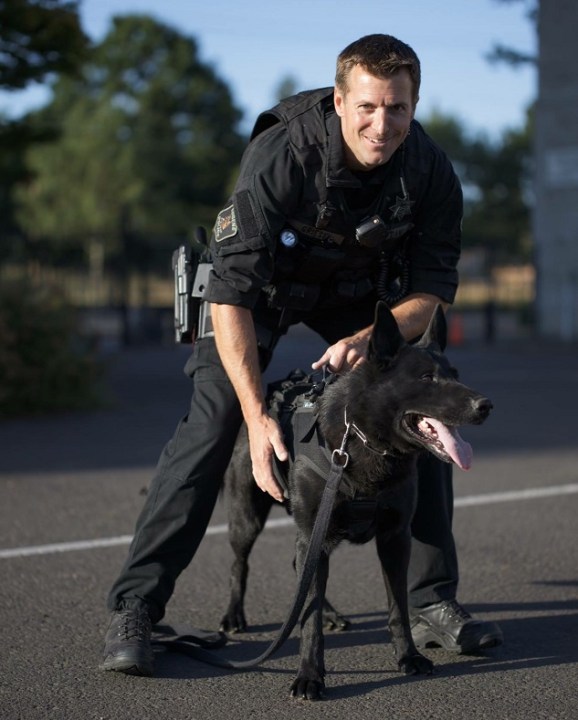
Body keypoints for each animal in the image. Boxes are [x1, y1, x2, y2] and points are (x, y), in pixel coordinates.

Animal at [220, 302, 490, 696]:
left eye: (455, 374)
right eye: (427, 378)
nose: (486, 405)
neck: (363, 441)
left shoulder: (395, 539)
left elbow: (398, 608)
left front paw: (409, 657)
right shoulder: (317, 534)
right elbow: (309, 620)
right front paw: (309, 675)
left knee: (300, 571)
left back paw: (331, 613)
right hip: (248, 518)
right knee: (240, 564)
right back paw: (233, 615)